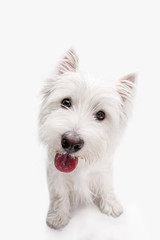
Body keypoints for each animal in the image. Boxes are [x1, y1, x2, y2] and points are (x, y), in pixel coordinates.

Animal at [38, 48, 136, 229]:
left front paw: (111, 205)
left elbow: (106, 186)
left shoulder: (104, 170)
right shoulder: (55, 174)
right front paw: (58, 217)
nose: (71, 142)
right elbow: (59, 194)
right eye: (66, 102)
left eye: (101, 115)